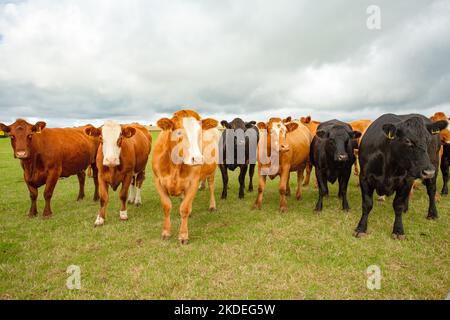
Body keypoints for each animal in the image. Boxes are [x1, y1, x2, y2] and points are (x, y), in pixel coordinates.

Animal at [153, 110, 220, 245]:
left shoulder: (193, 182)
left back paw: (212, 205)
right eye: (179, 132)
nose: (198, 159)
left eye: (200, 132)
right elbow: (167, 206)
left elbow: (184, 208)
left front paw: (183, 235)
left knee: (211, 187)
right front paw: (166, 232)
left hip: (212, 171)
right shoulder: (158, 181)